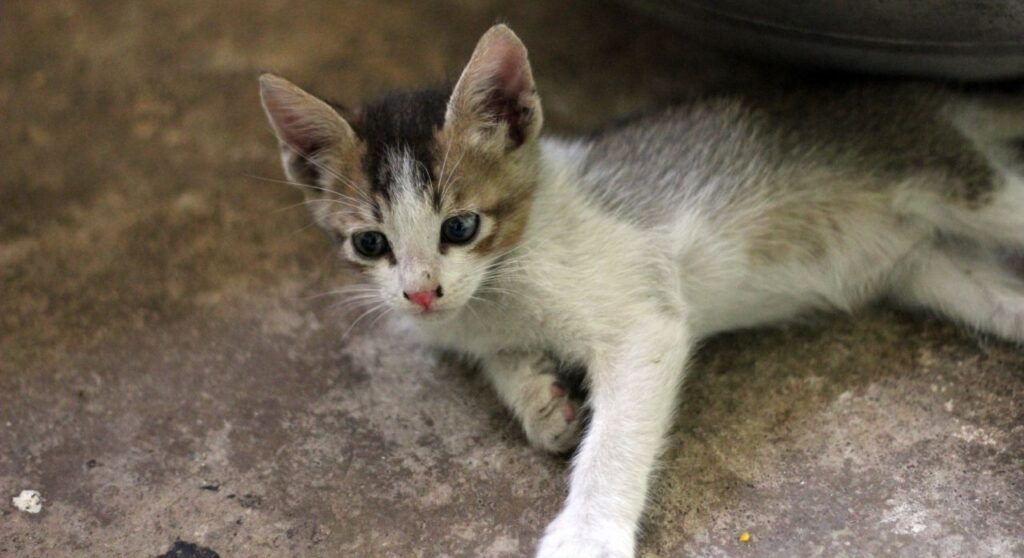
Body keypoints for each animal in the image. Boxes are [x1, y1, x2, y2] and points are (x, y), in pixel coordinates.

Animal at [260, 23, 1024, 556]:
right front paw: (541, 403)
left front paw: (586, 534)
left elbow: (615, 441)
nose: (421, 294)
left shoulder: (643, 323)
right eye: (371, 243)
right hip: (931, 268)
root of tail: (915, 94)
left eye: (461, 225)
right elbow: (499, 360)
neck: (501, 281)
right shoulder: (469, 324)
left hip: (968, 187)